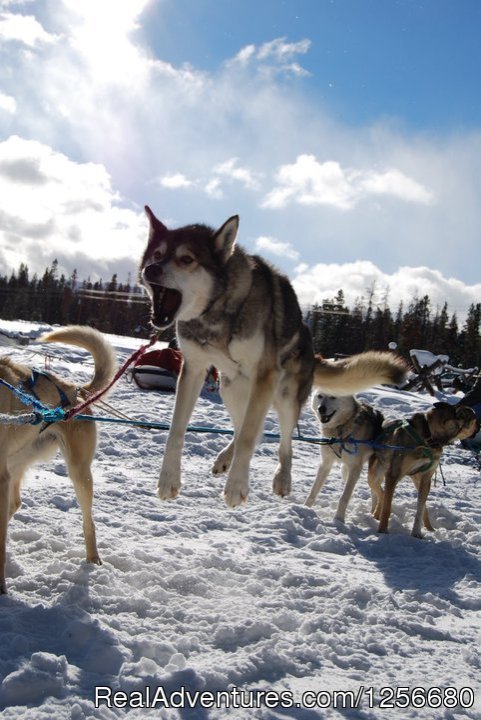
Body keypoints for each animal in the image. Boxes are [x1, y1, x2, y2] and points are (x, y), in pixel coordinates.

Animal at [0, 330, 116, 592]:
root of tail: (75, 390)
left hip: (79, 473)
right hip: (15, 466)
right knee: (15, 504)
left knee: (89, 523)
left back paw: (93, 559)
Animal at [139, 208, 404, 506]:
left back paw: (282, 479)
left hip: (284, 397)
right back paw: (225, 458)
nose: (150, 269)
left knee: (281, 441)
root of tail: (312, 347)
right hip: (231, 390)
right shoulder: (194, 369)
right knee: (246, 429)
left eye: (187, 259)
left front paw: (236, 487)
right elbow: (177, 431)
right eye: (157, 254)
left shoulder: (265, 375)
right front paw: (168, 480)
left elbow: (249, 438)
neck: (216, 312)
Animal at [308, 390, 382, 520]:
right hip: (349, 470)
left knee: (376, 493)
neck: (340, 431)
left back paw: (373, 514)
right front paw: (305, 508)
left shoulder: (355, 469)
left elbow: (344, 498)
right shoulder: (326, 463)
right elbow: (313, 491)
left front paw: (339, 520)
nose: (321, 408)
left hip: (372, 474)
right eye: (320, 396)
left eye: (333, 396)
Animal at [368, 402, 476, 536]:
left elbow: (420, 508)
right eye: (476, 420)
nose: (480, 426)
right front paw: (383, 530)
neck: (429, 438)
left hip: (416, 479)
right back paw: (377, 512)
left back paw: (430, 528)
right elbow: (386, 506)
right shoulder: (393, 475)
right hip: (375, 475)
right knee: (379, 491)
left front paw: (417, 533)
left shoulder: (426, 478)